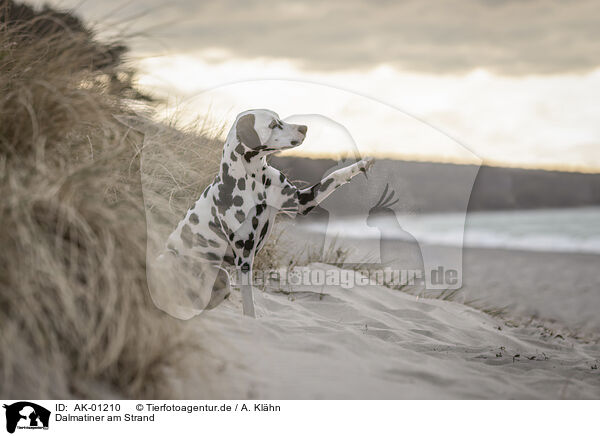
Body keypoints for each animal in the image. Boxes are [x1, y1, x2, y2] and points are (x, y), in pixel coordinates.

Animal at [162, 107, 372, 316]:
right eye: (273, 124)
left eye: (280, 119)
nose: (304, 128)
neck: (254, 178)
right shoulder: (245, 258)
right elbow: (249, 305)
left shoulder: (302, 201)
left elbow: (335, 176)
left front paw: (363, 163)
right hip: (172, 260)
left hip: (222, 279)